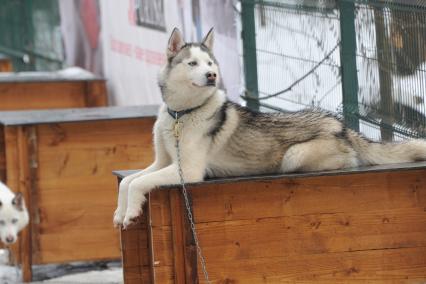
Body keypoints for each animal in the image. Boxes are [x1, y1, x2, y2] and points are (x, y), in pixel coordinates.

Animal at [114, 27, 426, 227]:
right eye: (192, 63)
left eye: (210, 63)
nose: (212, 75)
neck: (181, 114)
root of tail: (341, 125)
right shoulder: (161, 163)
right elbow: (128, 181)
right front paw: (120, 213)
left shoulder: (186, 170)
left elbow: (137, 183)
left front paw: (130, 213)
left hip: (293, 156)